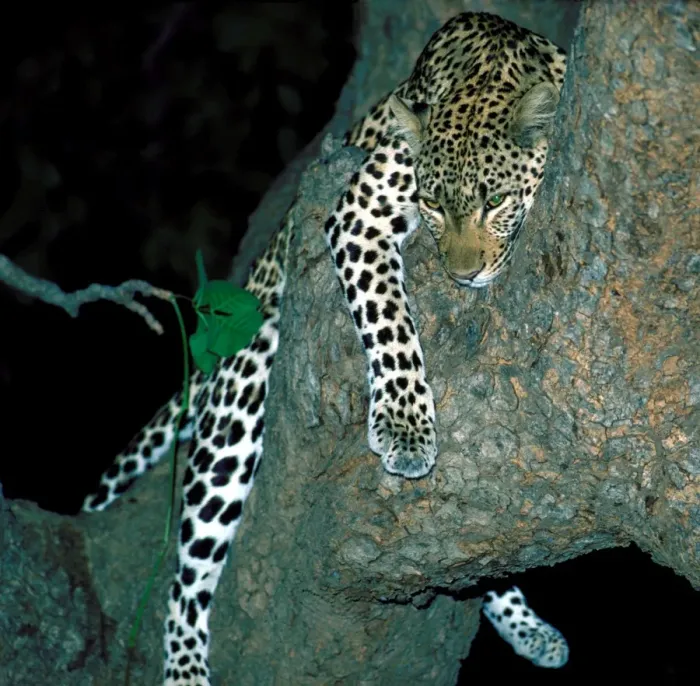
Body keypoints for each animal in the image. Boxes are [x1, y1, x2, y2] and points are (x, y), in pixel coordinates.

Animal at [81, 12, 568, 685]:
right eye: (432, 203)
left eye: (494, 201)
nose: (462, 275)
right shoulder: (360, 209)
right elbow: (390, 322)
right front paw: (406, 429)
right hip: (241, 397)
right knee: (184, 579)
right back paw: (184, 665)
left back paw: (533, 631)